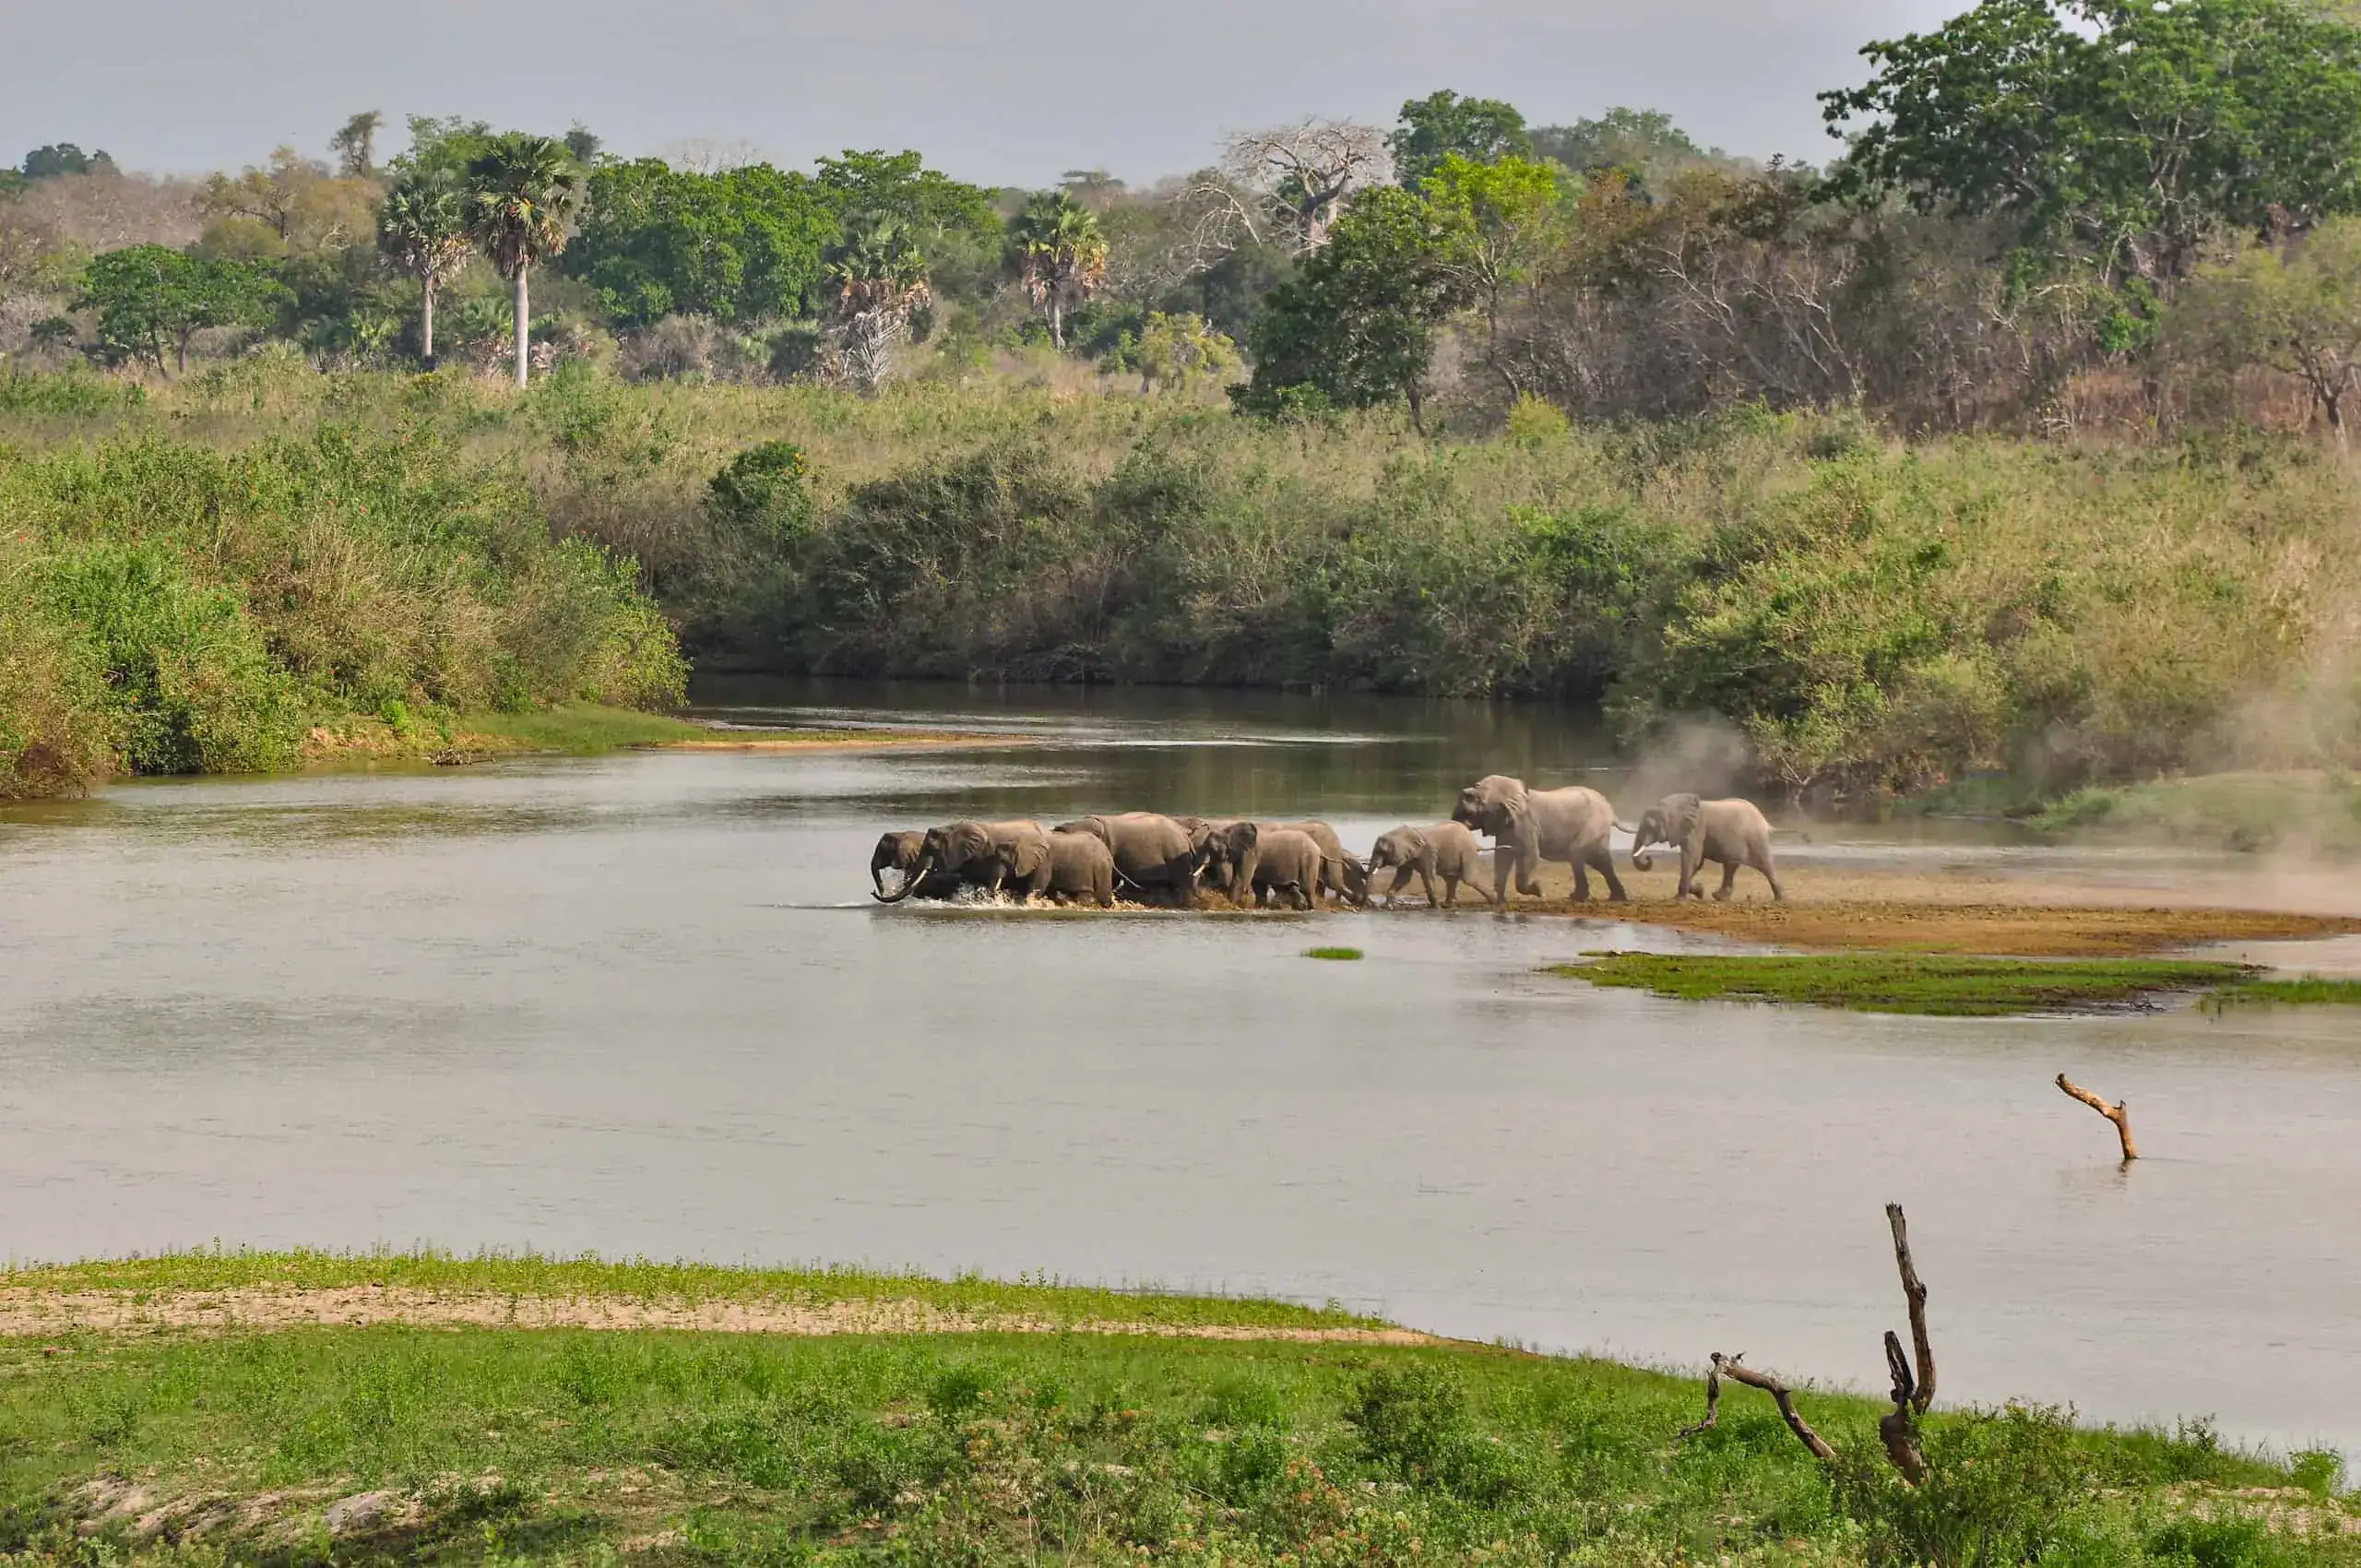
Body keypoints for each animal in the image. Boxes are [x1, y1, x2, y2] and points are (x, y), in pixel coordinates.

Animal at [1365, 823, 1494, 910]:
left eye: (1382, 852)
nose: (1375, 906)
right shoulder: (1407, 857)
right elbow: (1403, 878)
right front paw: (1389, 906)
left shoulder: (1428, 853)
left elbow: (1427, 876)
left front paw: (1436, 908)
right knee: (1450, 879)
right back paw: (1448, 905)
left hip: (1467, 852)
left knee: (1469, 879)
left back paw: (1495, 900)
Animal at [1452, 774, 1628, 904]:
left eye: (1468, 813)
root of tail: (1610, 810)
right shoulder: (1505, 825)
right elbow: (1502, 859)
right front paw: (1499, 902)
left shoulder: (1526, 823)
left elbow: (1530, 856)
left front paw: (1538, 890)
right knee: (1600, 861)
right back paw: (1616, 899)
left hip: (1593, 825)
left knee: (1579, 855)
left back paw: (1577, 899)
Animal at [1625, 793, 1786, 902]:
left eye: (1650, 826)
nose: (1648, 858)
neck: (1676, 805)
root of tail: (1765, 822)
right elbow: (1697, 863)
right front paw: (1699, 892)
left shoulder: (1696, 830)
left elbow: (1692, 859)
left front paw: (1679, 899)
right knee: (1731, 867)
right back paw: (1719, 897)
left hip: (1756, 839)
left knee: (1766, 865)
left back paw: (1780, 899)